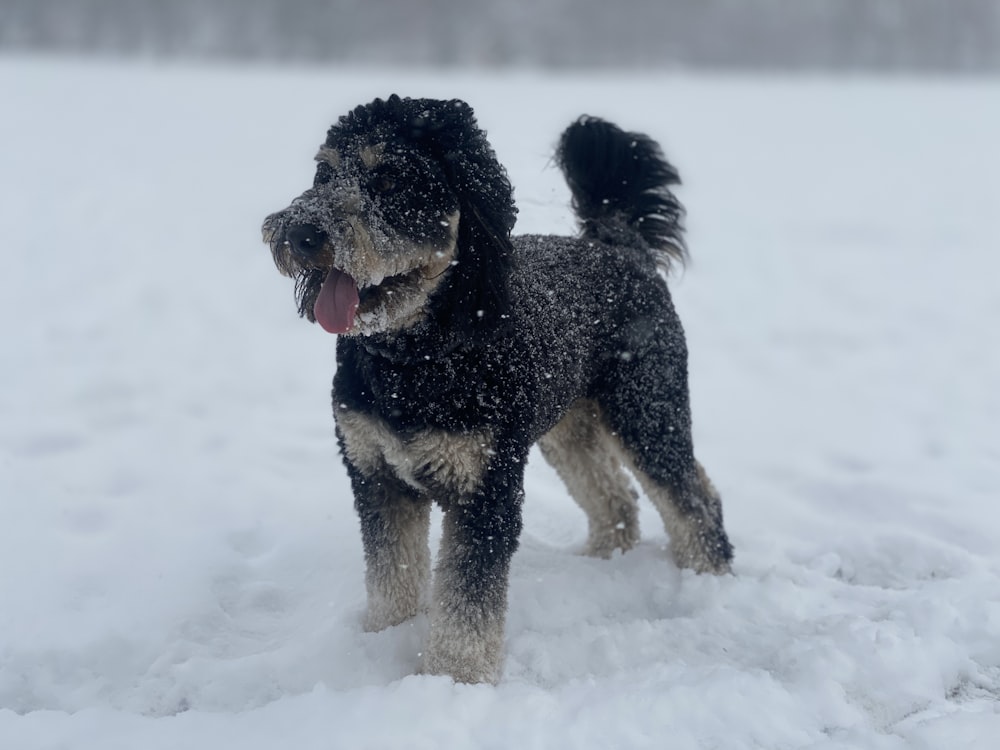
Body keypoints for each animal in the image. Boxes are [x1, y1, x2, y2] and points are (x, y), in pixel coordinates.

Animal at [264, 95, 736, 688]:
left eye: (391, 180)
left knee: (692, 497)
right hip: (569, 428)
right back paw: (604, 560)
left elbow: (468, 601)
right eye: (324, 174)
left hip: (646, 408)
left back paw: (708, 578)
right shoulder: (376, 475)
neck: (416, 358)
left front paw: (453, 681)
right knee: (614, 495)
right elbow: (391, 573)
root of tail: (619, 244)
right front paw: (384, 640)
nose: (301, 234)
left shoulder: (484, 489)